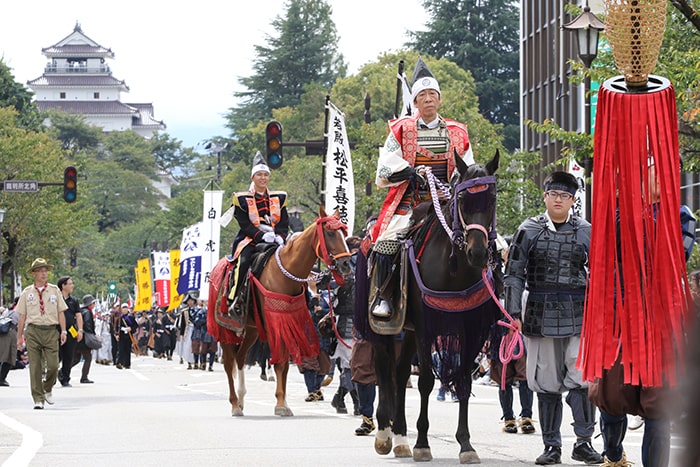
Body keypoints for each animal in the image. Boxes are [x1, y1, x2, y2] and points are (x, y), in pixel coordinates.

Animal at [206, 207, 350, 418]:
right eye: (330, 233)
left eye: (344, 233)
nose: (346, 264)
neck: (285, 275)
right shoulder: (275, 322)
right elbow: (278, 361)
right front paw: (281, 403)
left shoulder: (288, 321)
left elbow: (284, 364)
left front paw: (283, 403)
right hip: (225, 328)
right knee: (229, 361)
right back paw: (234, 404)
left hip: (251, 329)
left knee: (240, 358)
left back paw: (241, 399)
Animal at [360, 151, 498, 464]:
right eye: (463, 199)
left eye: (492, 199)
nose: (477, 252)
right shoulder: (426, 324)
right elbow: (424, 381)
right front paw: (422, 443)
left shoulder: (468, 326)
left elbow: (463, 380)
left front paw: (466, 445)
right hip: (385, 325)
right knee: (384, 367)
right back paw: (385, 435)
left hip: (408, 329)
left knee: (399, 373)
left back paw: (400, 438)